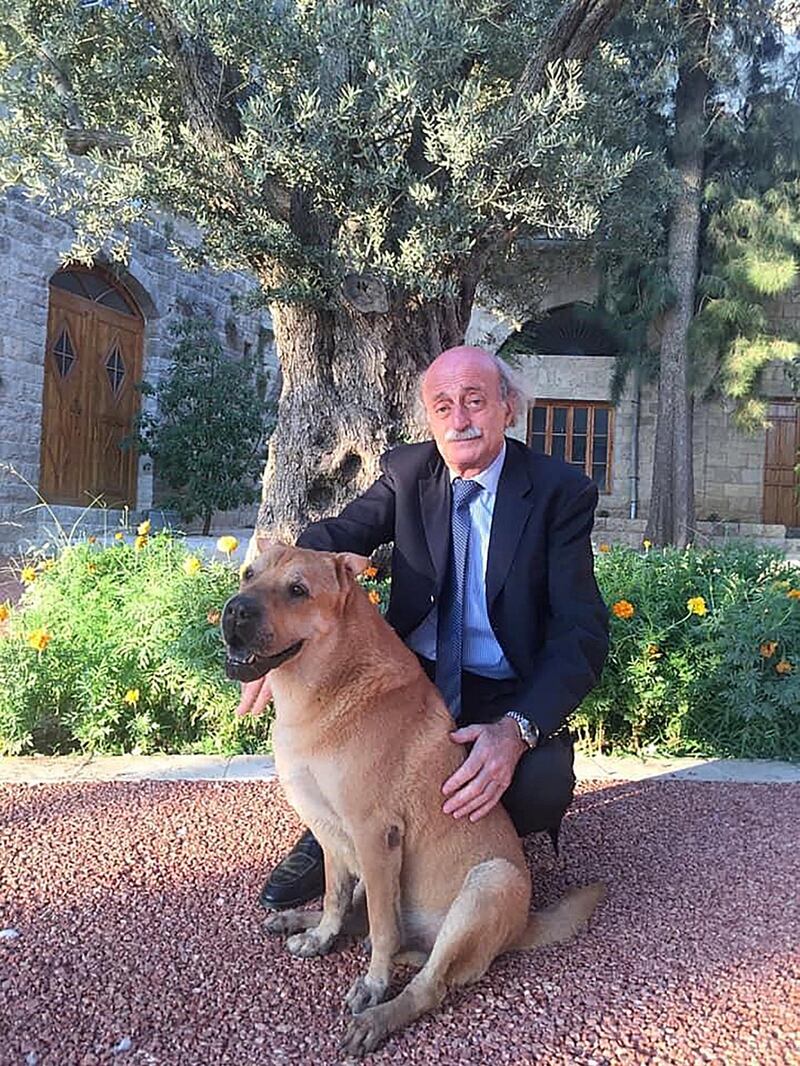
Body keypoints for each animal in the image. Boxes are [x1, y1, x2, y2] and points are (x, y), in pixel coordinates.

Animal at [222, 550, 605, 1057]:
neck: (328, 681)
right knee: (362, 919)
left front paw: (373, 986)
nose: (234, 610)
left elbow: (383, 928)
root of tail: (523, 925)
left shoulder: (375, 835)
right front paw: (321, 935)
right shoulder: (330, 833)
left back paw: (378, 1018)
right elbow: (334, 897)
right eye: (248, 574)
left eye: (298, 590)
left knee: (425, 980)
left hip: (487, 884)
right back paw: (299, 922)